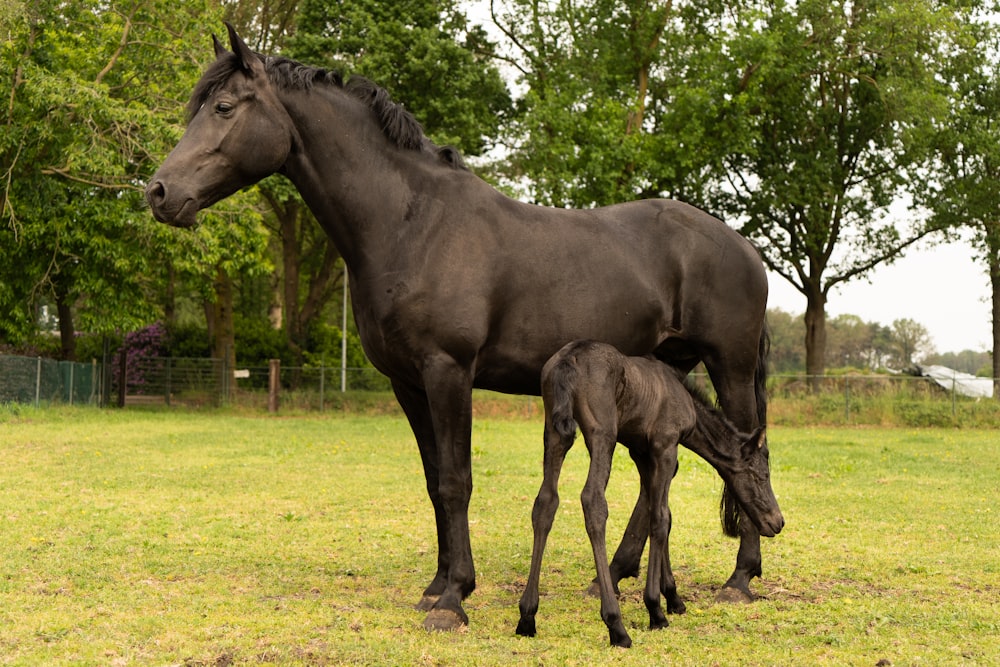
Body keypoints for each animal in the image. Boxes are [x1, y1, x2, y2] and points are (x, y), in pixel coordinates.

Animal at [520, 340, 784, 648]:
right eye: (761, 476)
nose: (777, 522)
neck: (681, 395)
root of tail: (568, 359)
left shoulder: (642, 453)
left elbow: (659, 514)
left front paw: (672, 597)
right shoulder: (665, 448)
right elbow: (660, 519)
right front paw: (655, 609)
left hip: (553, 433)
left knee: (545, 502)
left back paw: (527, 616)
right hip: (602, 435)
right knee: (593, 501)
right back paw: (617, 626)